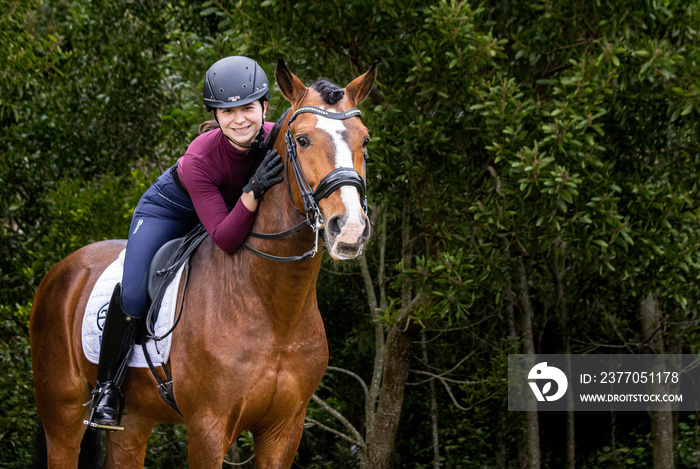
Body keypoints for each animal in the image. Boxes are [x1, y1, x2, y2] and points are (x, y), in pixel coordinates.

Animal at [29, 59, 378, 468]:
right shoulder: (208, 430)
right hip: (62, 414)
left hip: (134, 420)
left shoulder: (283, 431)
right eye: (303, 140)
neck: (273, 308)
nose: (349, 227)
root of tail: (61, 271)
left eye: (364, 140)